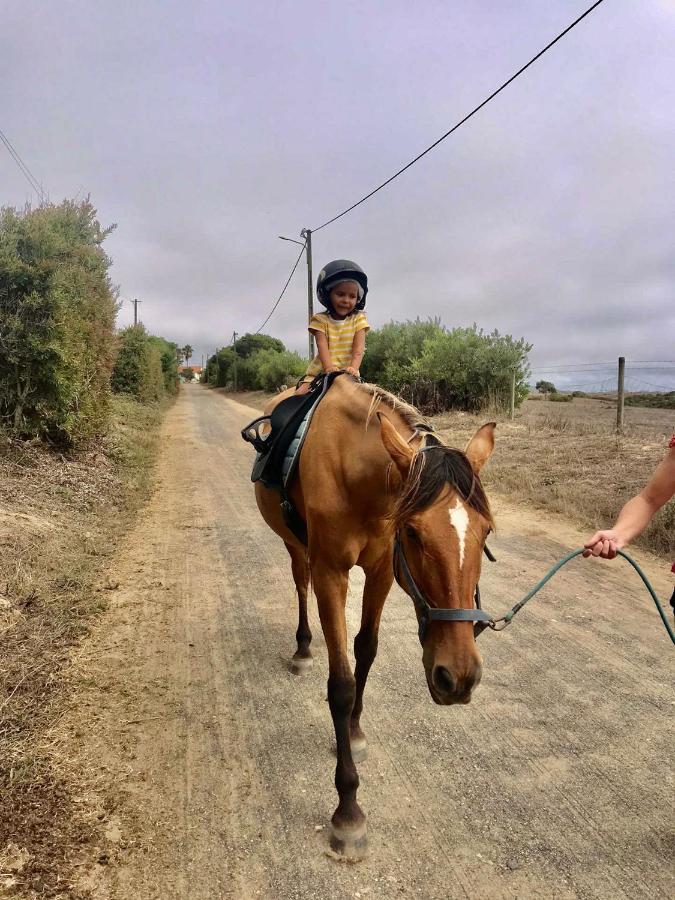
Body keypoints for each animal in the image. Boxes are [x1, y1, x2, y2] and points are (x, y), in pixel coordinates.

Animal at [254, 372, 496, 856]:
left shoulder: (383, 569)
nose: (458, 676)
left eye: (486, 532)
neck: (354, 472)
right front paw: (348, 810)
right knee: (299, 583)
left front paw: (354, 732)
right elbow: (342, 684)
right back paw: (303, 648)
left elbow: (365, 651)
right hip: (296, 546)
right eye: (414, 533)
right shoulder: (331, 573)